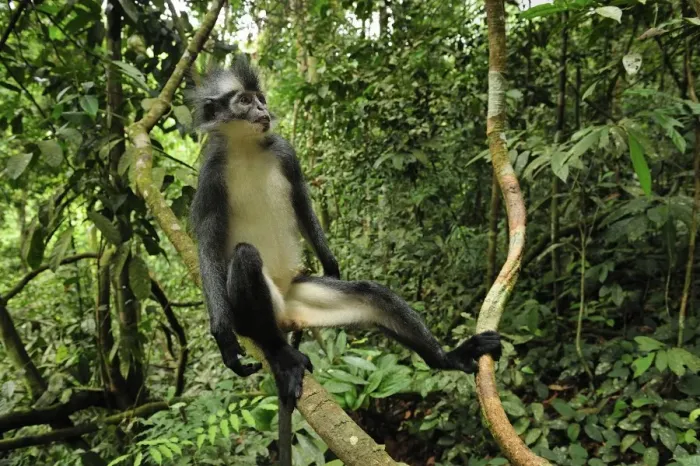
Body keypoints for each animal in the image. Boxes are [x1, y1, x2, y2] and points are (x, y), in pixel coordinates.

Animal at [189, 57, 502, 466]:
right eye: (244, 100)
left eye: (260, 98)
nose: (262, 110)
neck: (247, 149)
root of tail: (285, 312)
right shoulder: (211, 175)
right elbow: (207, 242)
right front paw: (223, 334)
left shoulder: (285, 153)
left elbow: (302, 203)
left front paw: (331, 264)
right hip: (259, 308)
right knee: (244, 259)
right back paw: (281, 355)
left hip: (300, 297)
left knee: (374, 296)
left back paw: (449, 358)